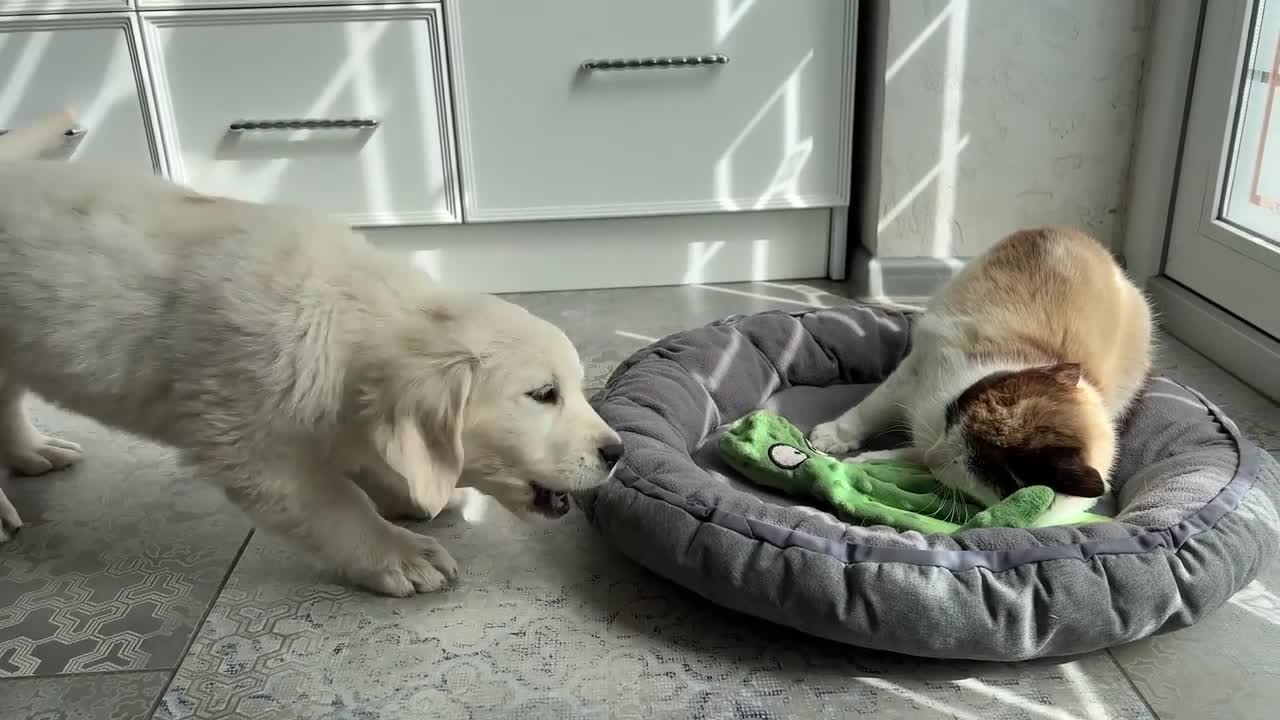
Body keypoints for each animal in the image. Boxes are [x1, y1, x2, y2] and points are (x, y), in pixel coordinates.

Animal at [0, 113, 619, 594]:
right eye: (544, 395)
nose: (616, 452)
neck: (341, 320)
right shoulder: (250, 447)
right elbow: (334, 506)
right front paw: (400, 554)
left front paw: (407, 494)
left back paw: (34, 451)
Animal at [814, 226, 1157, 525]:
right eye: (952, 419)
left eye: (976, 468)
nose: (934, 458)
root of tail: (1083, 238)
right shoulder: (914, 373)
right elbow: (868, 412)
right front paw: (832, 441)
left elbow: (906, 454)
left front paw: (866, 462)